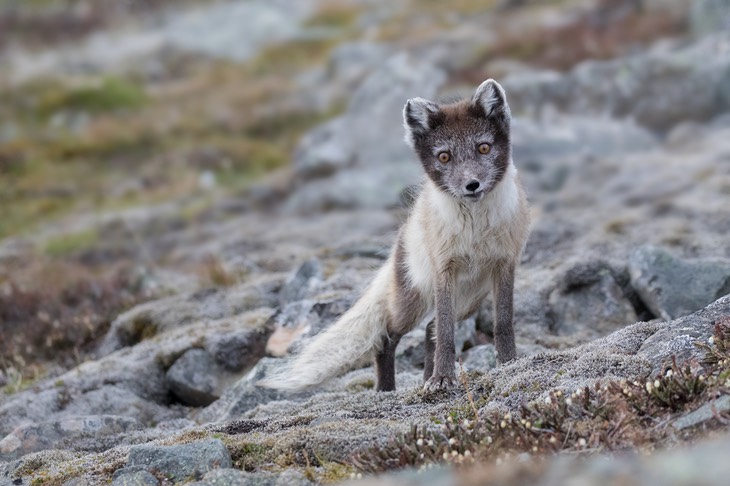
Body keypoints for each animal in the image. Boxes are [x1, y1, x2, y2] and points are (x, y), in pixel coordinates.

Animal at [262, 79, 528, 392]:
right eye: (444, 156)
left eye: (484, 148)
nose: (471, 185)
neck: (475, 230)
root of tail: (401, 237)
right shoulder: (444, 271)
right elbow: (446, 334)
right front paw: (442, 378)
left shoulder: (504, 265)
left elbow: (503, 323)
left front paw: (508, 364)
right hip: (411, 304)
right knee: (387, 336)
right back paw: (386, 389)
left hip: (470, 299)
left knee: (429, 328)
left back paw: (423, 378)